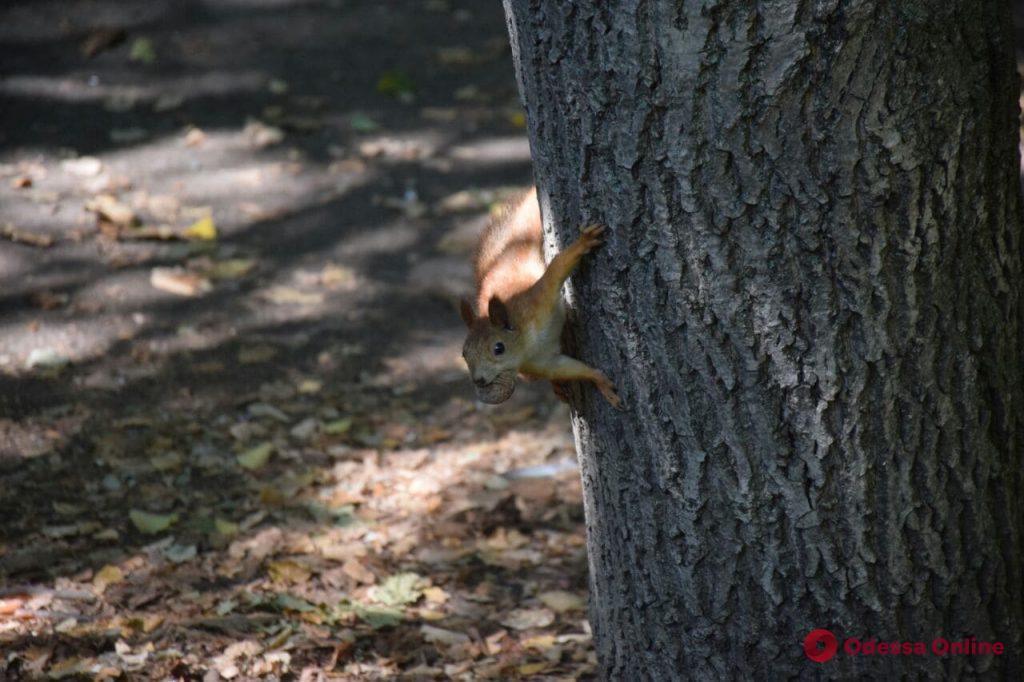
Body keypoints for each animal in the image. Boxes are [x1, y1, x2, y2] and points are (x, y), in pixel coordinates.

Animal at [460, 186, 618, 405]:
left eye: (499, 348)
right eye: (464, 354)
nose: (479, 380)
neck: (528, 344)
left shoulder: (539, 297)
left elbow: (558, 269)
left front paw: (583, 243)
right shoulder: (539, 363)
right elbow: (567, 368)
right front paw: (599, 381)